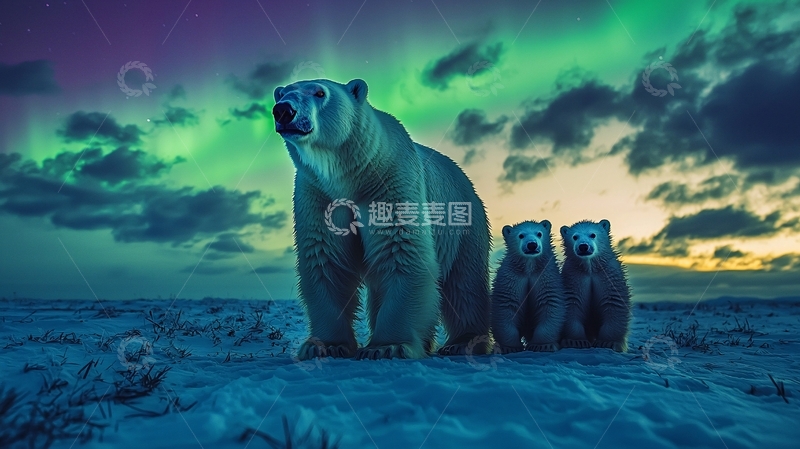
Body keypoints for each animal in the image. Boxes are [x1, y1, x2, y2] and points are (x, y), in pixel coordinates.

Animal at [272, 78, 492, 360]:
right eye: (282, 93)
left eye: (320, 92)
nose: (283, 110)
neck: (353, 173)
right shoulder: (318, 194)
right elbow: (326, 259)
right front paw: (324, 345)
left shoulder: (390, 180)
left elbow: (400, 249)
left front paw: (387, 346)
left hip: (462, 223)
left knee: (464, 283)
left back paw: (462, 342)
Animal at [491, 220, 565, 353]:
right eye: (521, 235)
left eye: (539, 233)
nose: (532, 245)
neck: (529, 268)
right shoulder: (512, 278)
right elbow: (506, 308)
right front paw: (508, 348)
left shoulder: (544, 276)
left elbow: (550, 304)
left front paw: (543, 345)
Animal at [559, 219, 632, 352]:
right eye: (575, 237)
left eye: (593, 234)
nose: (583, 246)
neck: (590, 269)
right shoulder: (574, 277)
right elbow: (572, 304)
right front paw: (576, 341)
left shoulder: (607, 276)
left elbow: (614, 303)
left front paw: (608, 342)